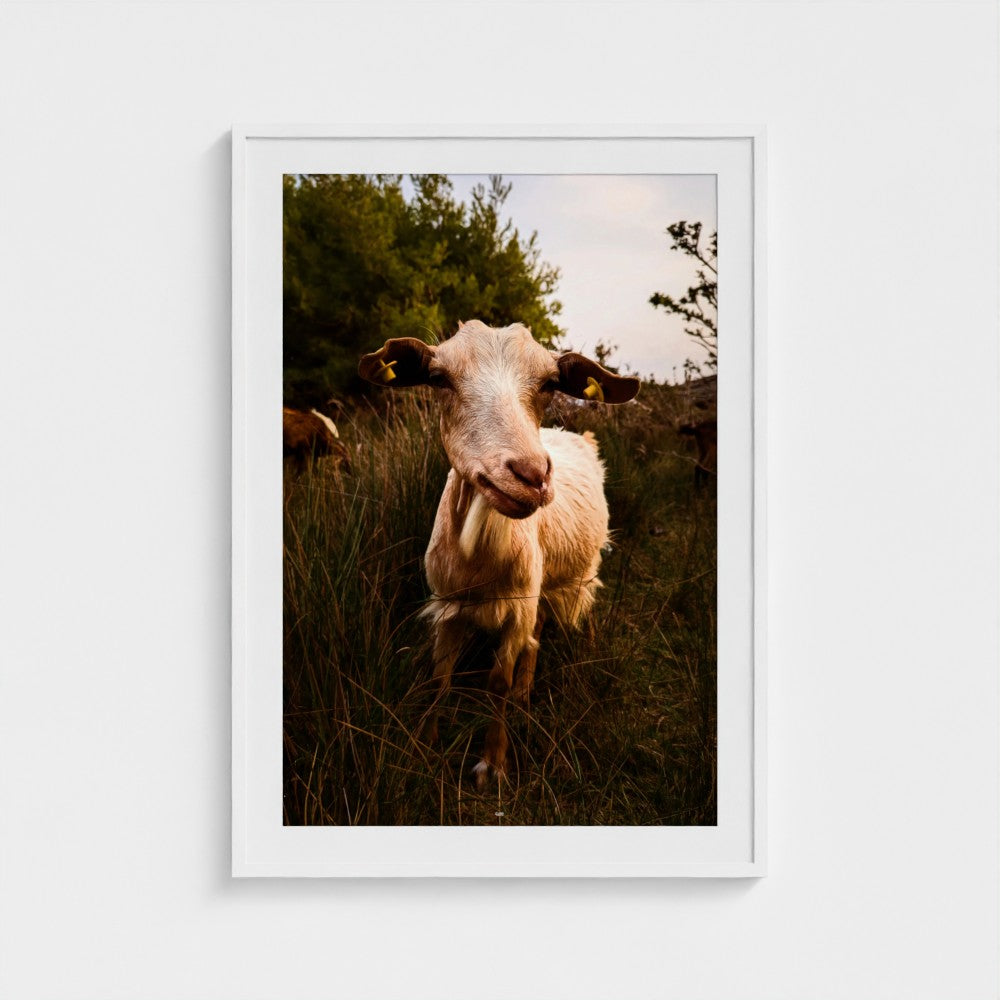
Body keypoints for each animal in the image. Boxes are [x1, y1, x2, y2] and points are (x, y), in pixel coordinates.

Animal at [359, 320, 639, 788]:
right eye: (439, 378)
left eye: (549, 384)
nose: (531, 475)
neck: (479, 563)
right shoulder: (448, 604)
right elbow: (438, 679)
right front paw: (424, 747)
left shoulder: (517, 606)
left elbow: (498, 682)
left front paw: (492, 764)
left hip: (566, 578)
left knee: (548, 625)